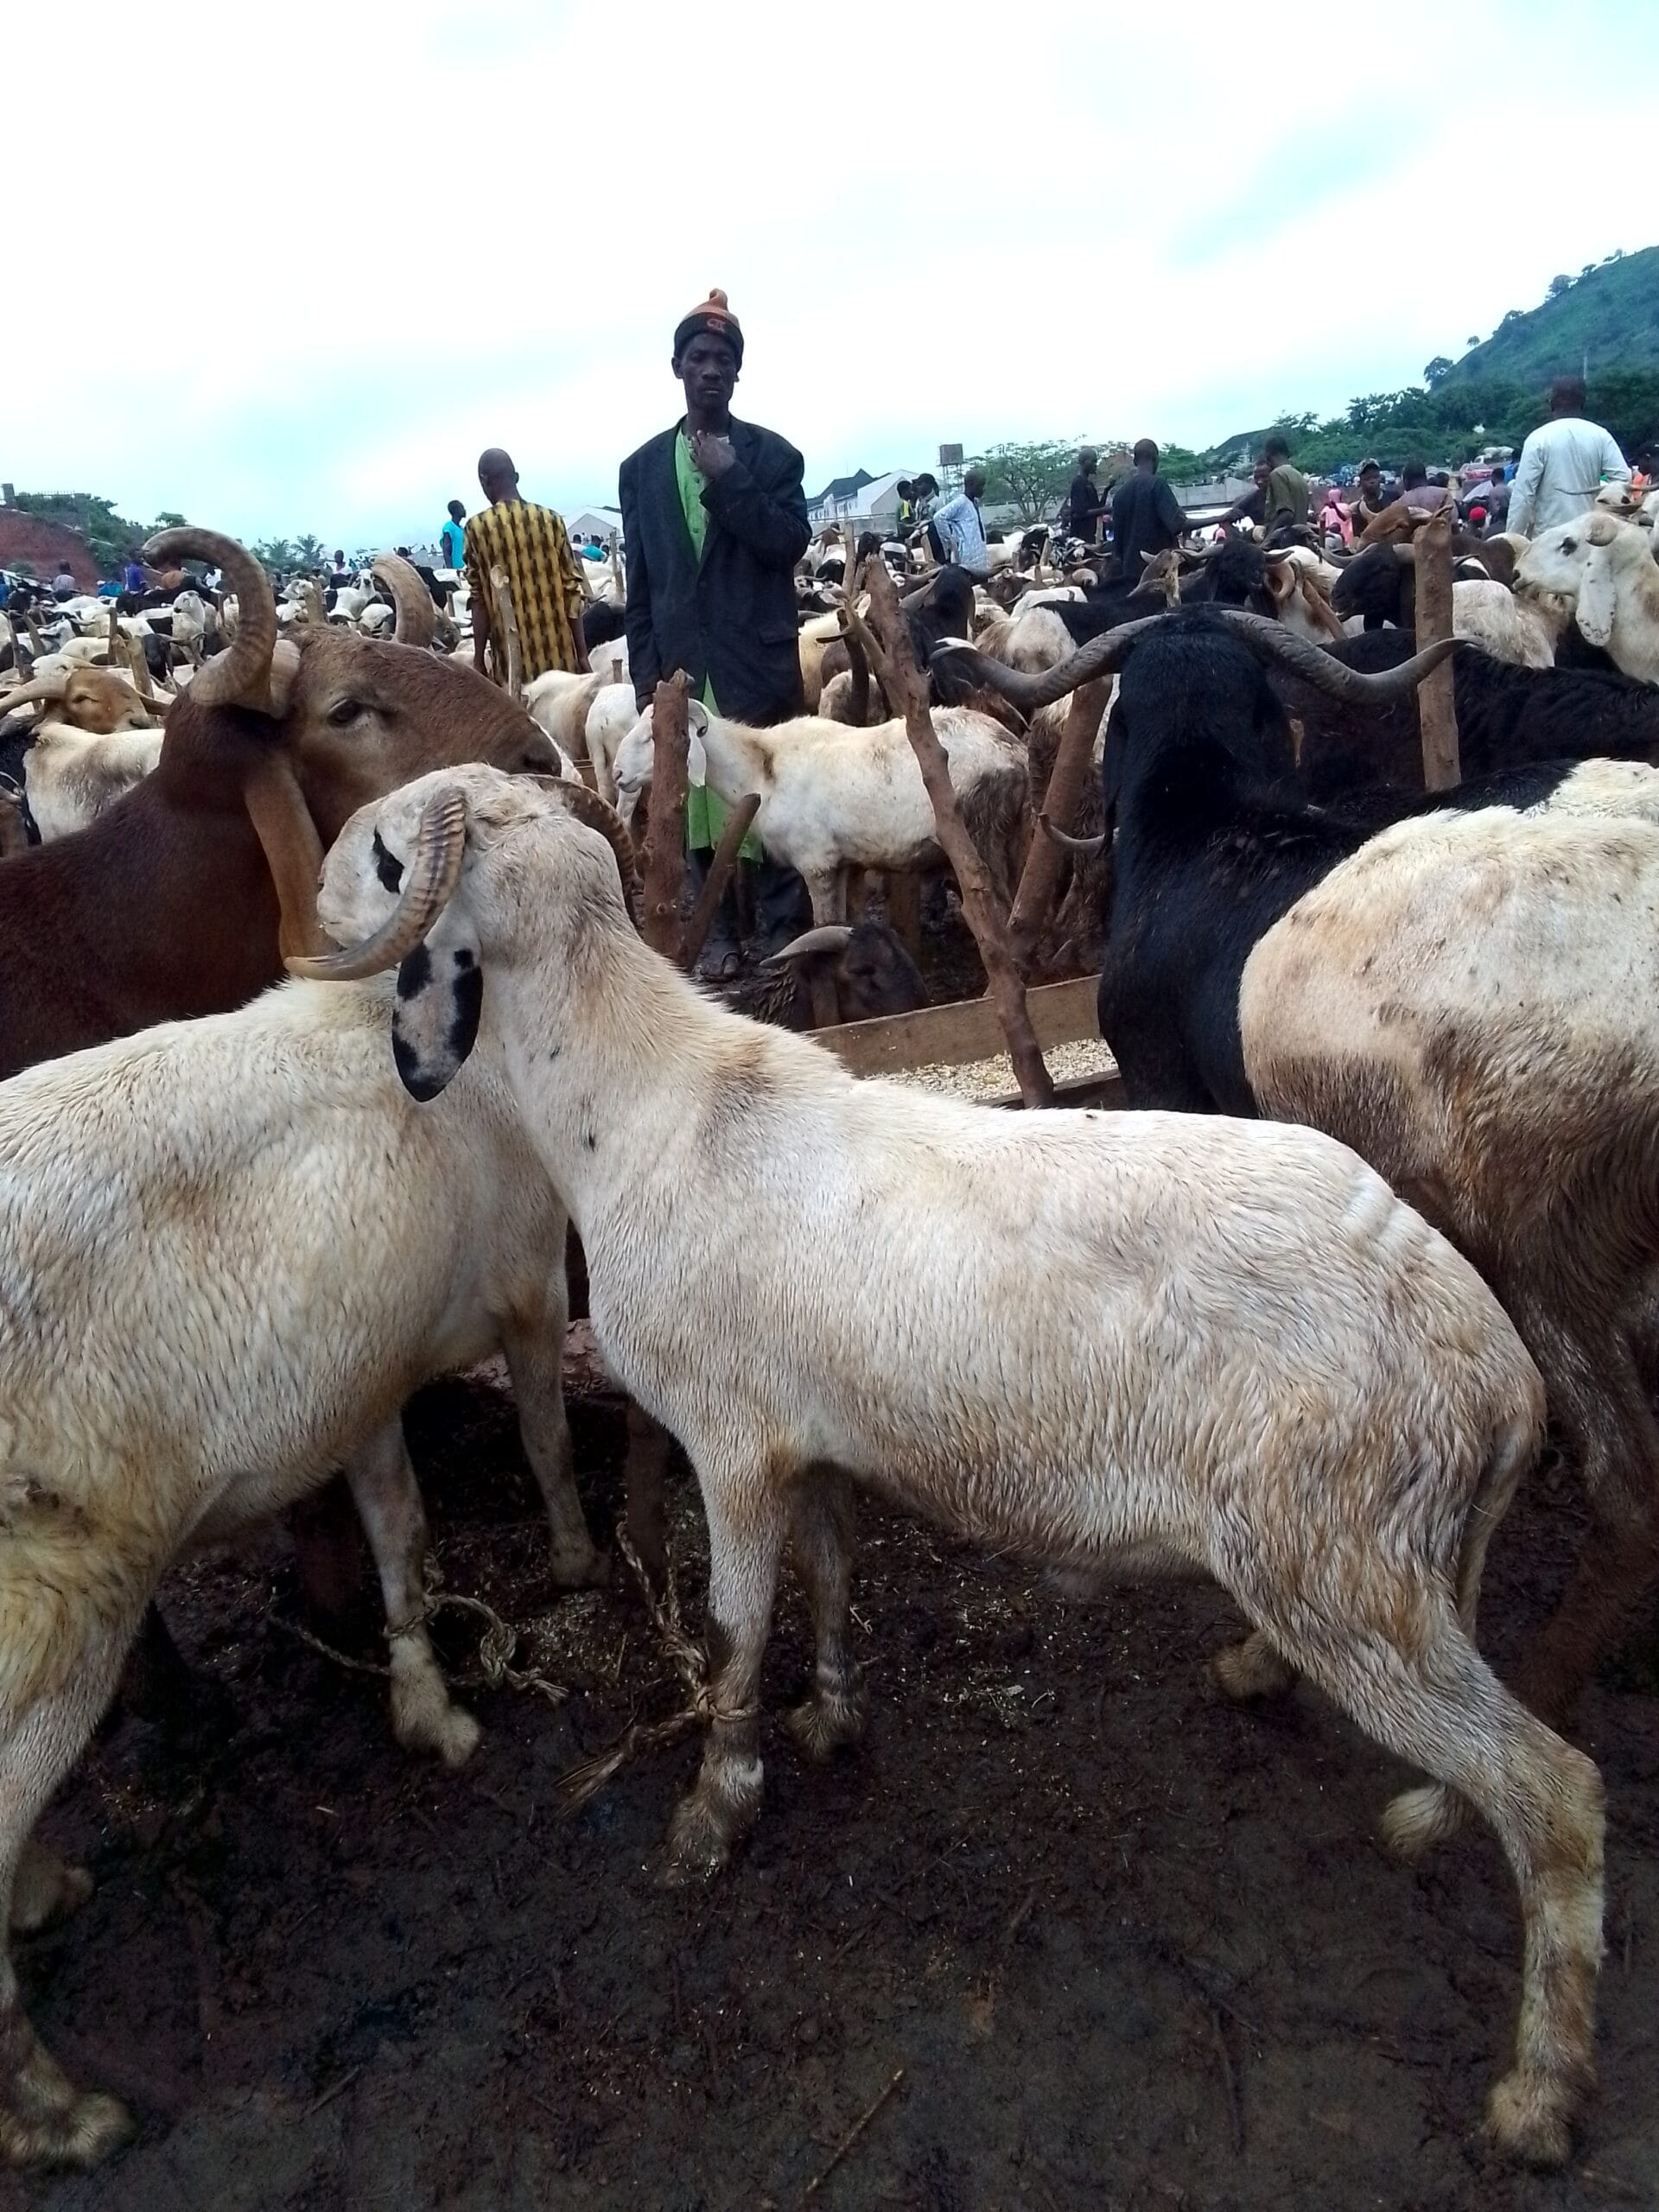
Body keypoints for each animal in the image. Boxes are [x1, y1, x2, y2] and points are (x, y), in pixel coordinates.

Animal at [297, 762, 1601, 2169]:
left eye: (383, 850)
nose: (309, 904)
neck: (642, 1111)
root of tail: (1496, 1369)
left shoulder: (730, 1438)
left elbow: (733, 1627)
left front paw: (714, 1811)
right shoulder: (812, 1439)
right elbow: (829, 1577)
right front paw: (829, 1719)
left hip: (1350, 1565)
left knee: (1557, 1797)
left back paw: (1539, 2095)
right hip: (1373, 1562)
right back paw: (1296, 1703)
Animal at [610, 697, 1030, 922]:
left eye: (654, 737)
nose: (617, 774)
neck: (760, 768)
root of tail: (1015, 753)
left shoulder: (817, 863)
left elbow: (822, 926)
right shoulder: (841, 863)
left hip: (982, 835)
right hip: (1013, 837)